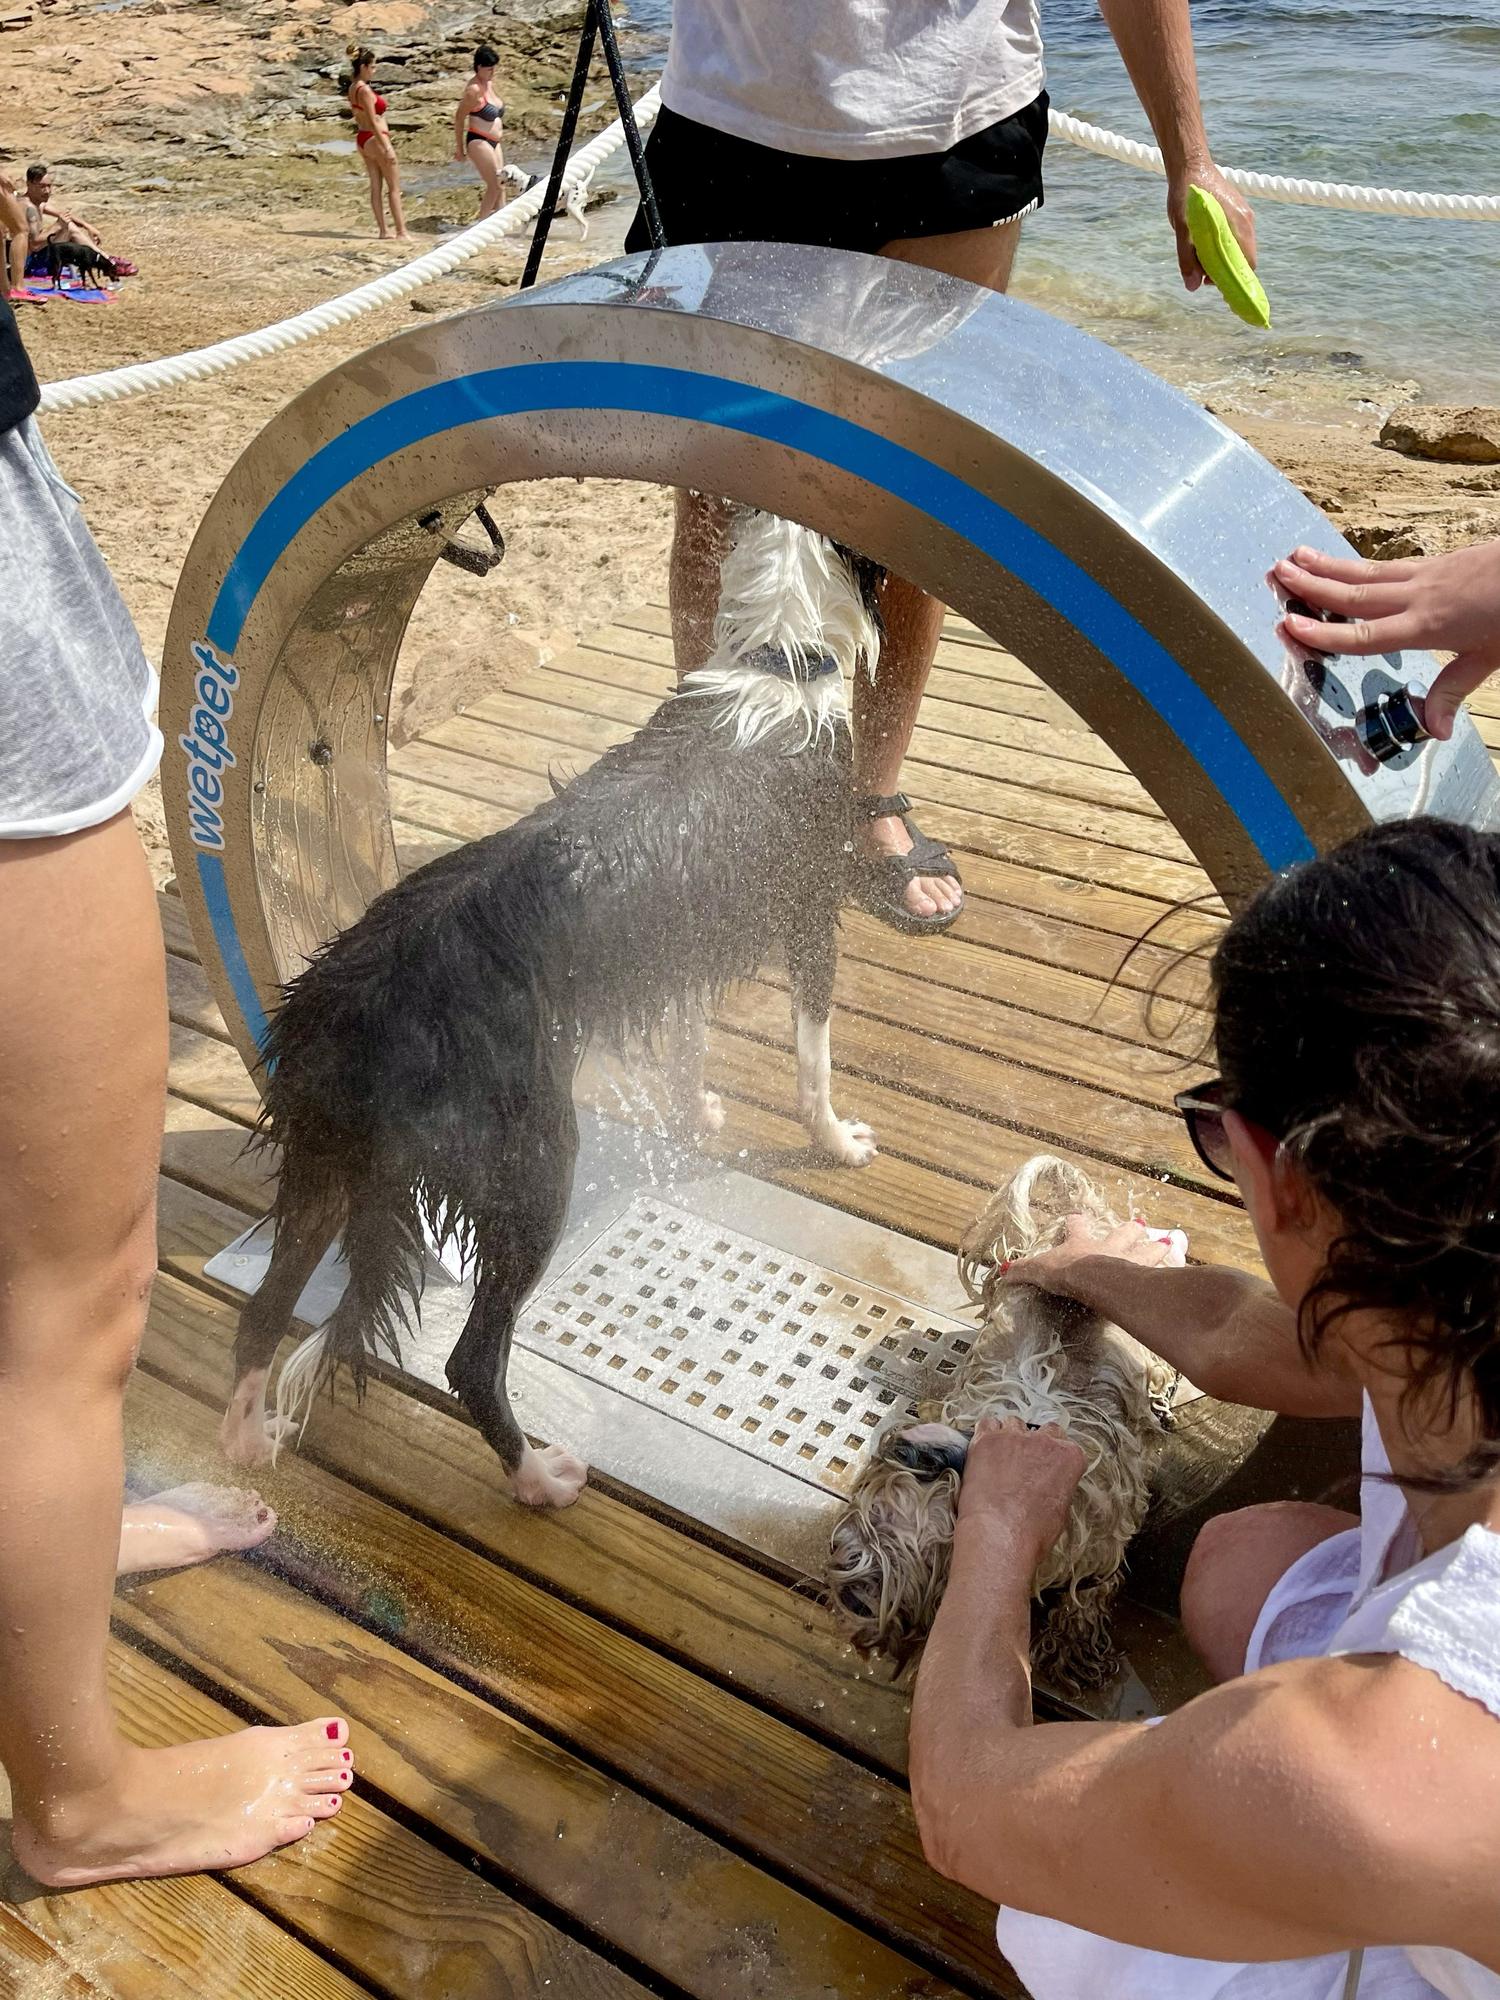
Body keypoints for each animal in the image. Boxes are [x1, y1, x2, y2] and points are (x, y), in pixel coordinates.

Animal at [220, 508, 880, 1504]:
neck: (780, 659)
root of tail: (360, 1005)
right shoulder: (810, 915)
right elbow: (816, 1061)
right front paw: (837, 1142)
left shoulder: (681, 942)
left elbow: (687, 1042)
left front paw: (695, 1110)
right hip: (531, 1164)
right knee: (469, 1358)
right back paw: (539, 1478)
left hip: (329, 1164)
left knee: (262, 1313)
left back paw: (248, 1444)